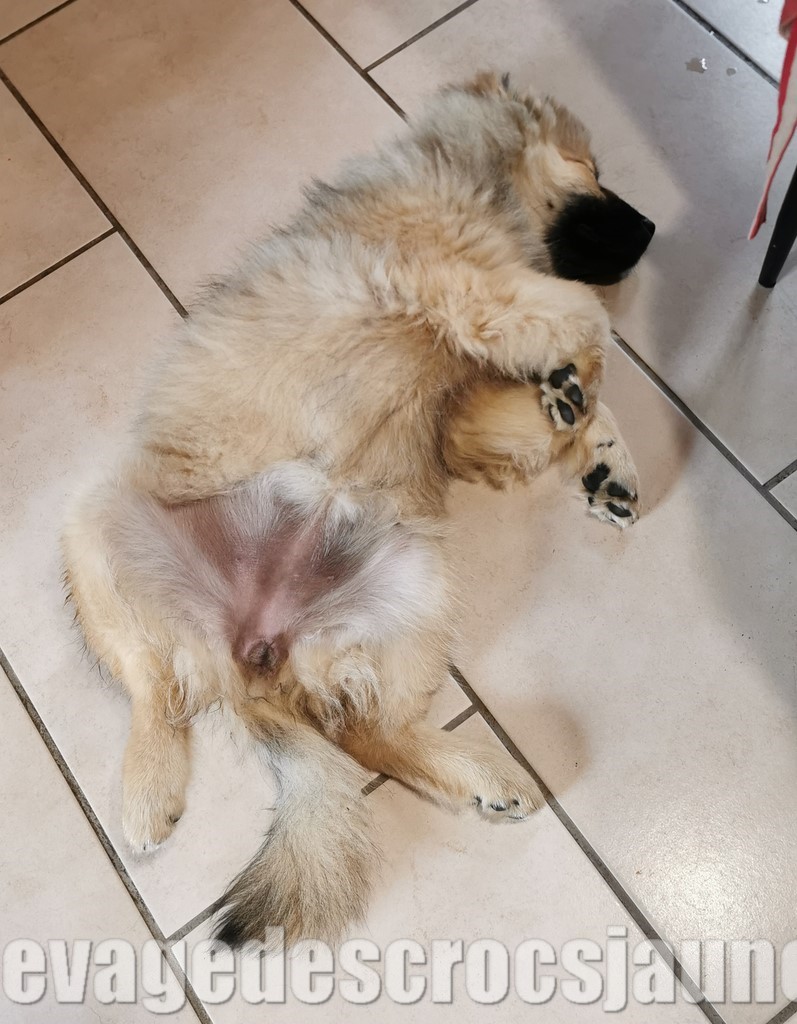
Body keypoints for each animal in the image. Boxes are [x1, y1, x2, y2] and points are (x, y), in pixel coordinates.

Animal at [62, 71, 654, 949]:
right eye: (590, 166)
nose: (651, 228)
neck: (468, 176)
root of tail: (252, 656)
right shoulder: (465, 284)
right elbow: (587, 313)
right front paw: (576, 393)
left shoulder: (464, 406)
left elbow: (568, 376)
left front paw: (594, 442)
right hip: (97, 524)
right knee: (153, 690)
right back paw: (146, 791)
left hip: (418, 589)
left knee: (366, 733)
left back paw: (479, 775)